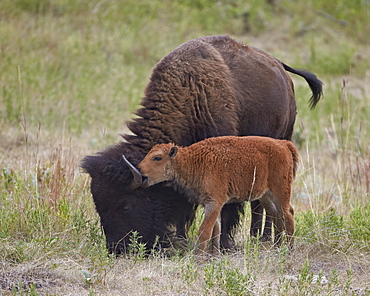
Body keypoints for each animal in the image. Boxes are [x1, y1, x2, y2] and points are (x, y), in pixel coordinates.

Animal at [125, 135, 300, 253]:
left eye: (157, 157)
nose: (140, 171)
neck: (192, 161)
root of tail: (283, 144)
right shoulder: (211, 204)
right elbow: (216, 230)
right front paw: (214, 254)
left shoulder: (214, 203)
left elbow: (205, 231)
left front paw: (200, 257)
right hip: (266, 196)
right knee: (277, 216)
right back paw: (277, 247)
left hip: (280, 192)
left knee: (288, 214)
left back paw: (290, 249)